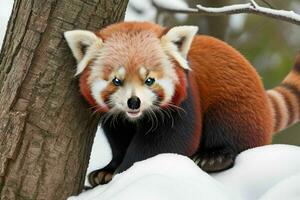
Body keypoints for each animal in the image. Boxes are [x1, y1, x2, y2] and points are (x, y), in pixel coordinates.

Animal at [63, 21, 300, 186]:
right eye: (116, 81)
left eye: (150, 80)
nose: (133, 102)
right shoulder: (116, 118)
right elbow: (119, 140)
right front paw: (108, 170)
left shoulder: (184, 101)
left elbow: (168, 143)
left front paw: (128, 171)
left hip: (238, 107)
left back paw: (215, 157)